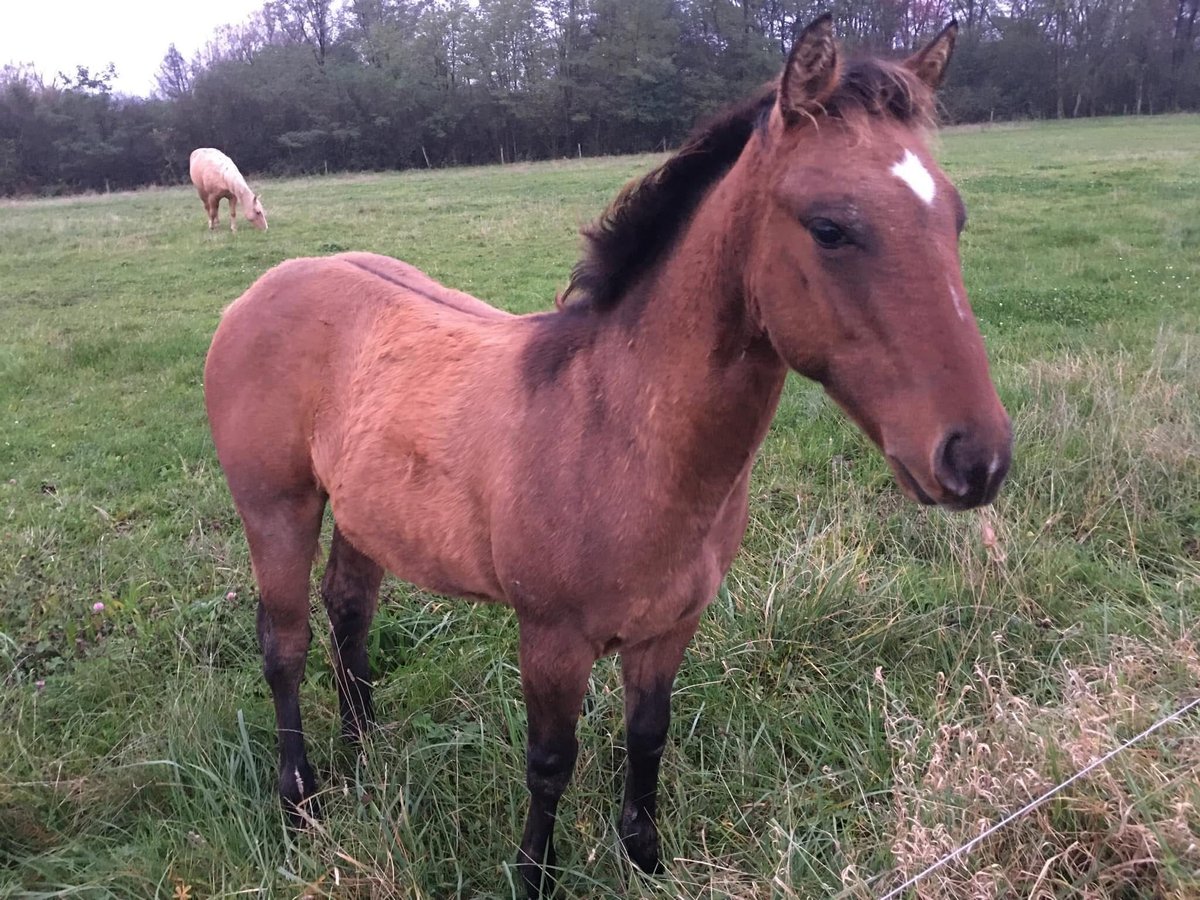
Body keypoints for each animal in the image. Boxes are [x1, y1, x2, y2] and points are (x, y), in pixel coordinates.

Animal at [206, 15, 1012, 900]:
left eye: (957, 220)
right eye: (830, 228)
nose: (976, 458)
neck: (620, 428)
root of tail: (260, 291)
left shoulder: (670, 627)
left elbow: (648, 736)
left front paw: (646, 858)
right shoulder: (552, 639)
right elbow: (550, 763)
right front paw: (533, 877)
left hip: (364, 514)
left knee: (349, 612)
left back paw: (367, 752)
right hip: (276, 509)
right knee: (284, 644)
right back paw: (302, 800)